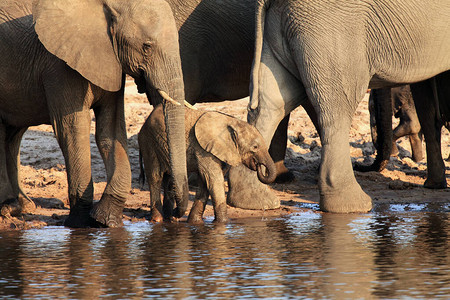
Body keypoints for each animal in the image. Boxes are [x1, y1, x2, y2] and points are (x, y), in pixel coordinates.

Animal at [0, 0, 186, 226]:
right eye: (147, 47)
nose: (175, 213)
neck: (110, 5)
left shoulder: (112, 63)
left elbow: (110, 132)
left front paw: (105, 220)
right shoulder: (60, 66)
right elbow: (72, 130)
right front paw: (79, 224)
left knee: (12, 134)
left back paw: (19, 207)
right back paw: (9, 207)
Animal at [139, 104, 276, 224]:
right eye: (255, 147)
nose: (258, 165)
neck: (232, 122)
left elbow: (205, 181)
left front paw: (195, 222)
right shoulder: (203, 149)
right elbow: (214, 179)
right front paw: (223, 223)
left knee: (167, 179)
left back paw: (168, 218)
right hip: (149, 143)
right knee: (155, 177)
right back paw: (158, 219)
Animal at [250, 0, 450, 212]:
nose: (361, 165)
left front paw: (435, 185)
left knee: (274, 102)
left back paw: (257, 200)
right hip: (332, 28)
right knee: (338, 104)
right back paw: (353, 206)